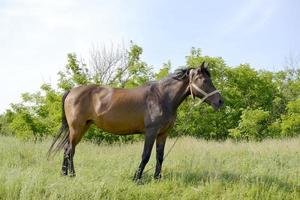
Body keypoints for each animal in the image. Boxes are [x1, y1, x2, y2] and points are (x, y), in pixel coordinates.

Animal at [47, 61, 223, 180]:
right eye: (205, 81)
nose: (220, 101)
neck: (162, 97)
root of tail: (72, 91)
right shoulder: (151, 132)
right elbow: (146, 155)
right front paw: (137, 178)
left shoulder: (163, 134)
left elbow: (160, 156)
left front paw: (157, 178)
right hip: (77, 128)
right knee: (70, 150)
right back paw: (72, 175)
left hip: (81, 128)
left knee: (67, 149)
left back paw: (64, 174)